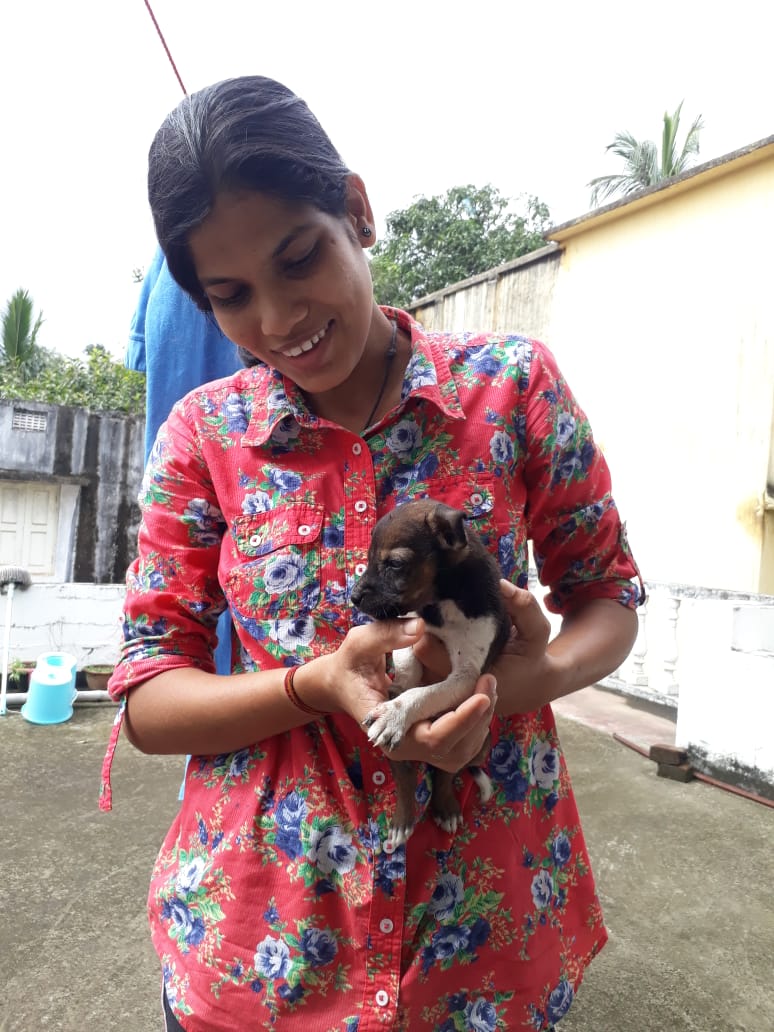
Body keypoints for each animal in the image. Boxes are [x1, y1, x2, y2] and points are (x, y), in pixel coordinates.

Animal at [351, 498, 511, 848]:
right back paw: (403, 821)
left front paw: (395, 713)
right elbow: (409, 664)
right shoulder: (411, 629)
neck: (442, 602)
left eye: (394, 564)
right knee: (406, 777)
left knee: (448, 772)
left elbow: (423, 694)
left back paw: (447, 807)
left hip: (478, 743)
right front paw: (399, 688)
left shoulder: (467, 675)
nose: (353, 597)